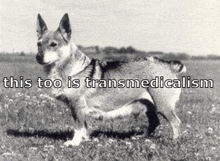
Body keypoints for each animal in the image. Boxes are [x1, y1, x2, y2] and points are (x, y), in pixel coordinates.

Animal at [35, 13, 186, 146]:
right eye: (38, 44)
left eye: (53, 44)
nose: (38, 57)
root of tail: (167, 64)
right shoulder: (76, 109)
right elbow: (84, 127)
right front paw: (85, 140)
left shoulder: (76, 106)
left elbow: (78, 127)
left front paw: (74, 143)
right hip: (150, 106)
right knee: (155, 122)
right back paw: (141, 137)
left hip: (163, 106)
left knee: (176, 122)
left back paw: (174, 142)